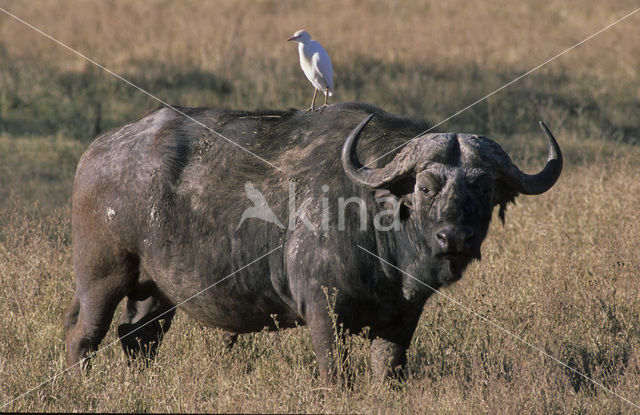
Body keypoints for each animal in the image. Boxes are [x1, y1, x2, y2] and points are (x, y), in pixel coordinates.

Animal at [63, 102, 560, 386]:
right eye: (425, 186)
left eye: (483, 188)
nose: (454, 237)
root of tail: (96, 152)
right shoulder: (323, 308)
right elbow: (335, 376)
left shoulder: (403, 317)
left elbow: (388, 372)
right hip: (102, 277)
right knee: (82, 334)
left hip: (156, 291)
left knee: (137, 338)